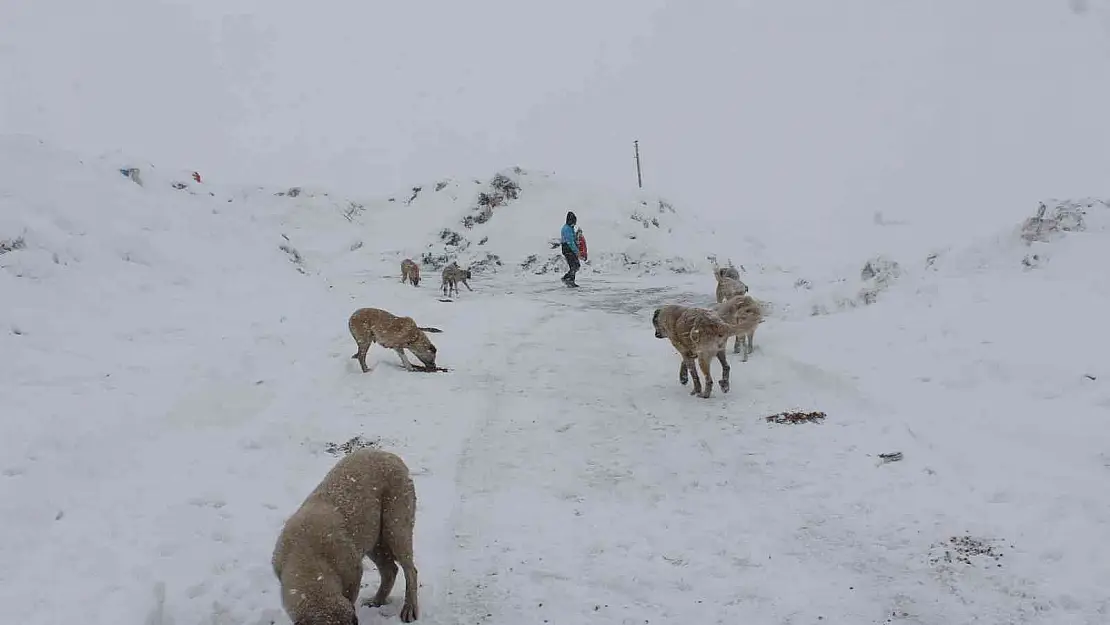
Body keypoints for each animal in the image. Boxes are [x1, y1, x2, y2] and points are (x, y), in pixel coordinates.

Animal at [273, 450, 419, 621]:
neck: (306, 555)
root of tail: (391, 455)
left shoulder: (353, 572)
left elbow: (350, 596)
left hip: (396, 527)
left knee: (410, 571)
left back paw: (409, 608)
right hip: (372, 538)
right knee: (390, 570)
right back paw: (376, 601)